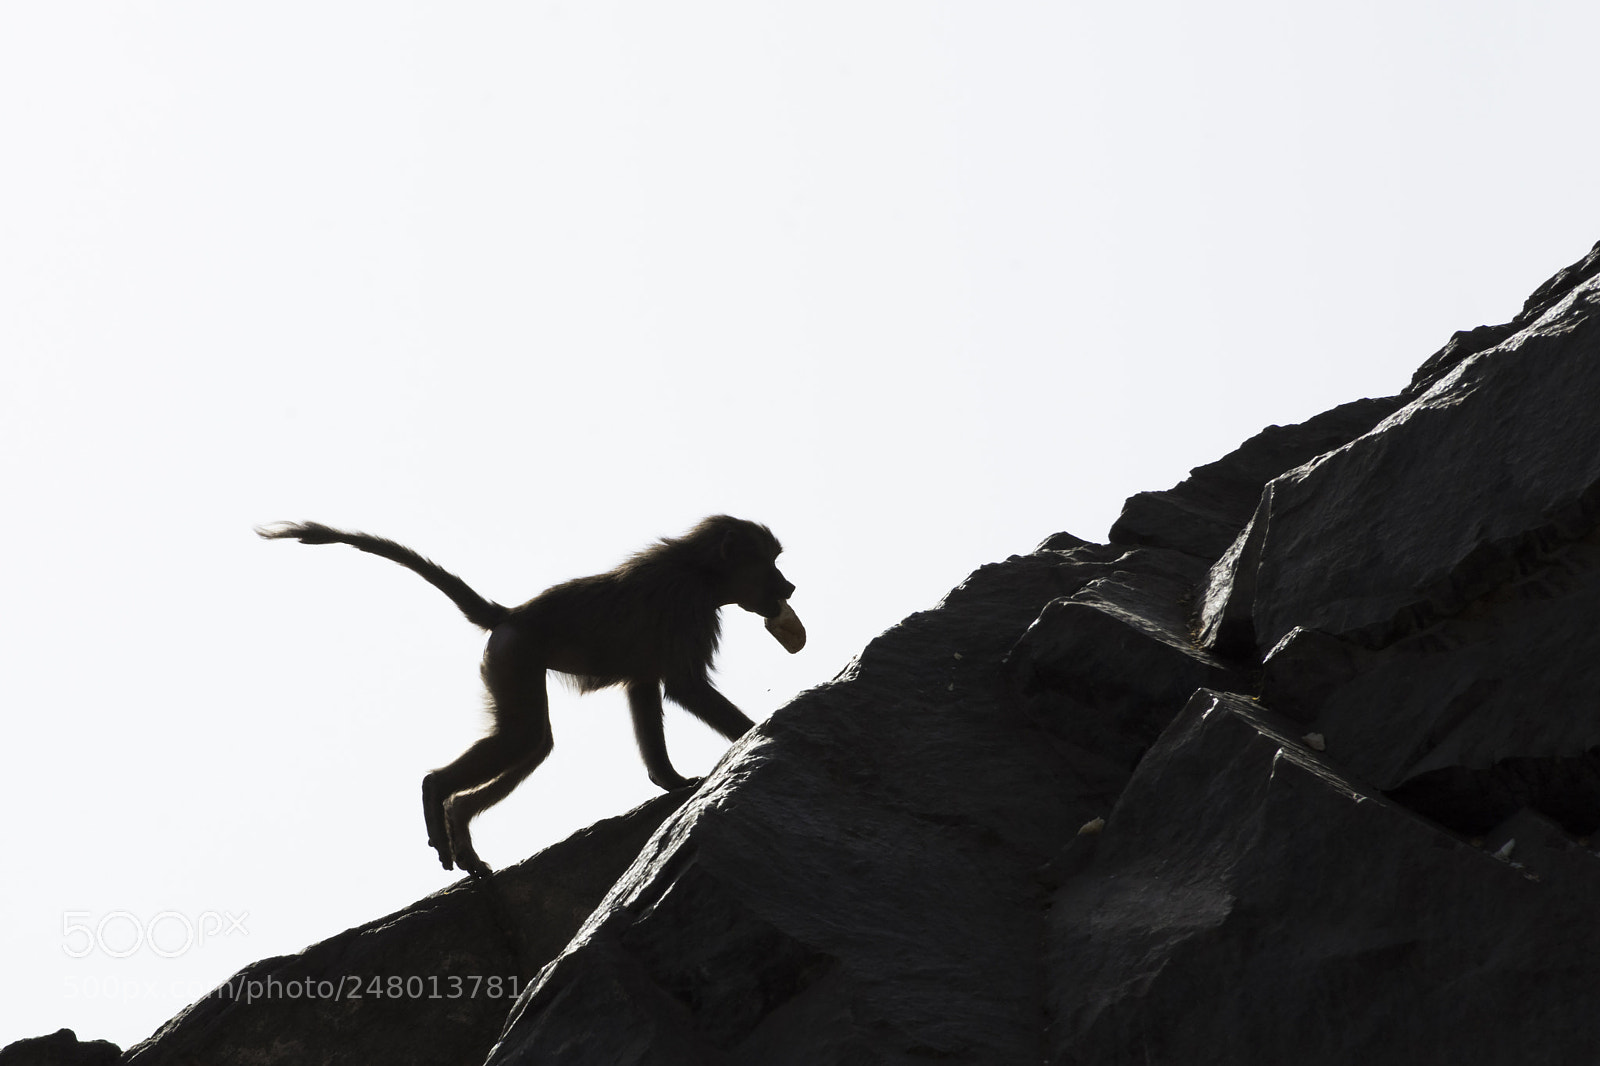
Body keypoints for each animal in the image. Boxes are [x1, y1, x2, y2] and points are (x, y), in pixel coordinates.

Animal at [257, 515, 804, 878]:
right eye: (770, 564)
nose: (790, 586)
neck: (699, 570)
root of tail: (512, 614)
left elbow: (644, 688)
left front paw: (668, 780)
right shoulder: (687, 609)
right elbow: (684, 687)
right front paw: (756, 734)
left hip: (508, 662)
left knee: (533, 742)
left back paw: (460, 824)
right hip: (514, 656)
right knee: (522, 738)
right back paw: (436, 793)